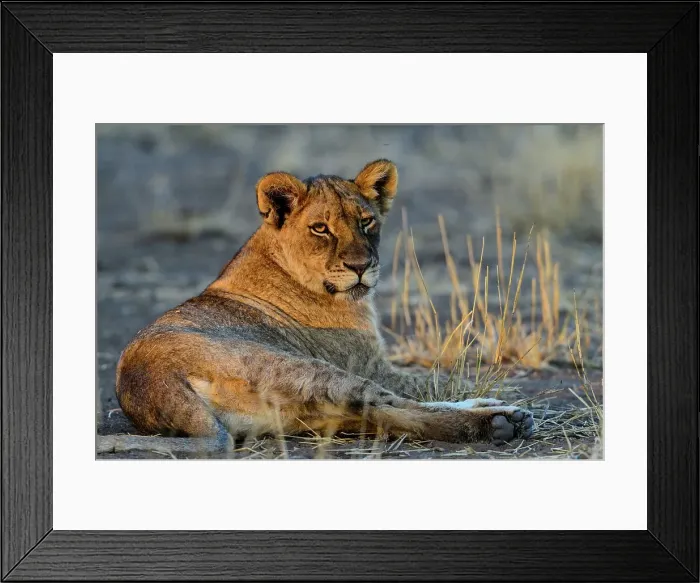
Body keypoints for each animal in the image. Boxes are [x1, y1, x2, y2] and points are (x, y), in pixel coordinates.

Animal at [116, 159, 534, 449]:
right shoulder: (370, 364)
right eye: (321, 228)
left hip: (300, 412)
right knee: (397, 405)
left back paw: (502, 419)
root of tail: (149, 380)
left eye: (366, 222)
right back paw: (500, 421)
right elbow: (434, 382)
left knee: (389, 416)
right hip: (305, 369)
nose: (361, 266)